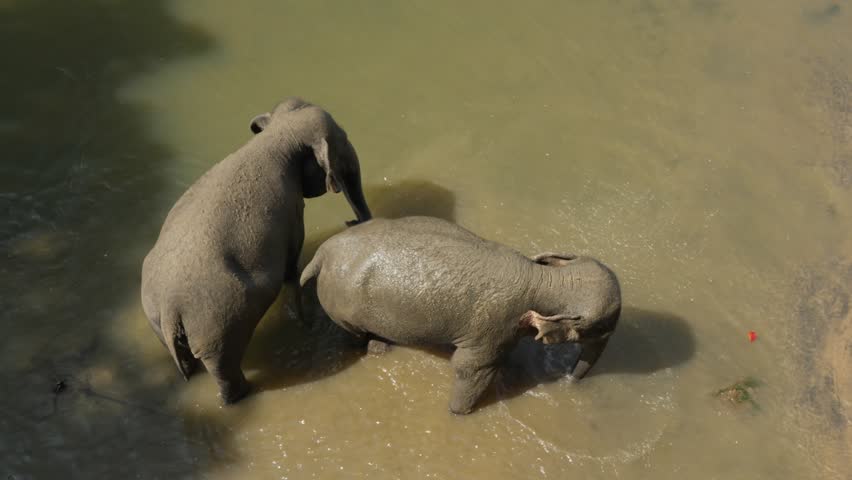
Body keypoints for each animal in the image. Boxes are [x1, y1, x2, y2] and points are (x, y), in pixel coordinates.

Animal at [141, 97, 371, 404]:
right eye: (343, 138)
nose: (351, 221)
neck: (275, 135)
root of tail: (169, 308)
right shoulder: (291, 212)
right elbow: (291, 266)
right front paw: (303, 323)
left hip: (157, 320)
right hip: (217, 327)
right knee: (224, 369)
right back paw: (241, 395)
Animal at [300, 216, 621, 414]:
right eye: (602, 329)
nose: (570, 383)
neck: (544, 278)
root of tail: (322, 252)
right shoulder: (494, 324)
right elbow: (470, 367)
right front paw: (458, 413)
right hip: (340, 306)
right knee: (355, 333)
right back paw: (379, 348)